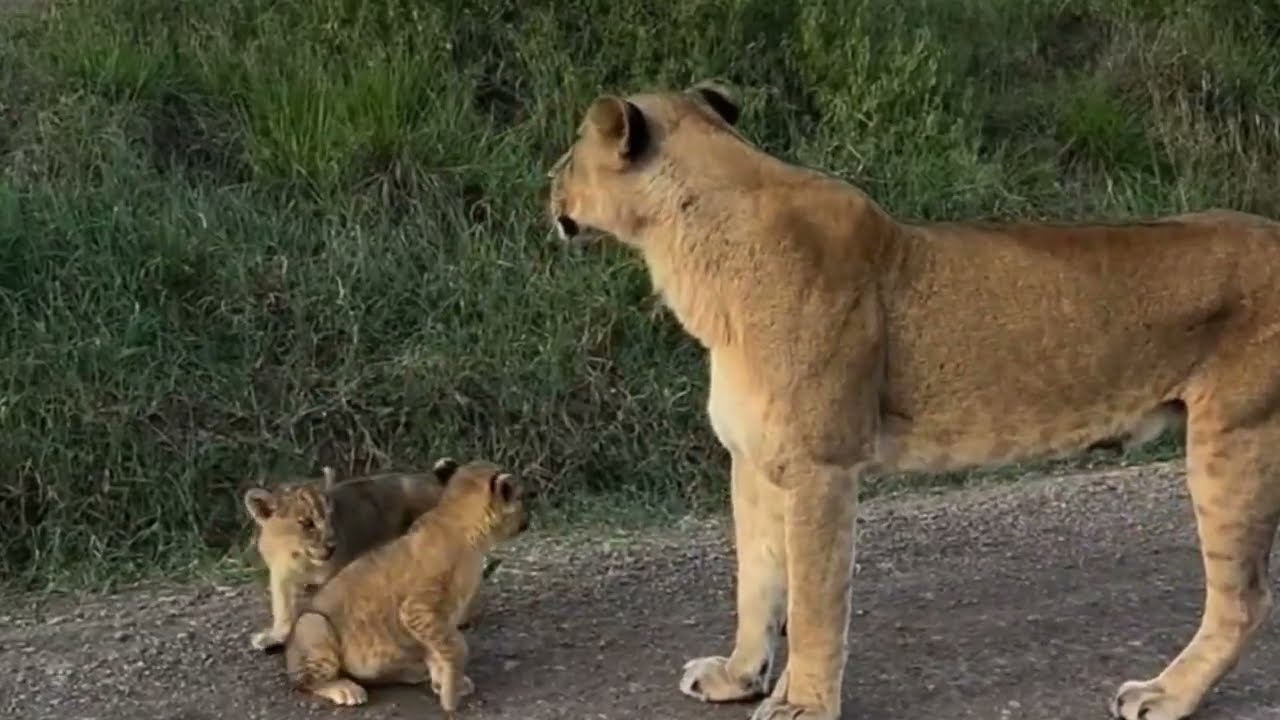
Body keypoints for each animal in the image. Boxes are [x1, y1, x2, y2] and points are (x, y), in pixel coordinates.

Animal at [243, 460, 495, 651]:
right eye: (306, 523)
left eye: (330, 515)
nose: (332, 545)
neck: (298, 557)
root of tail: (436, 480)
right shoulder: (280, 576)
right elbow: (282, 608)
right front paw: (275, 636)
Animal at [283, 458, 530, 716]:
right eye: (521, 497)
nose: (529, 519)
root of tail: (288, 657)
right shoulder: (417, 609)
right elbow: (457, 645)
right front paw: (450, 693)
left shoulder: (431, 620)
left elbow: (438, 649)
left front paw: (444, 682)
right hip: (313, 623)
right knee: (305, 681)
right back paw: (346, 689)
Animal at [546, 80, 1280, 720]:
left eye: (570, 151)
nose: (546, 182)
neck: (691, 256)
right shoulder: (751, 459)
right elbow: (755, 583)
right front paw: (737, 677)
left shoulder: (822, 466)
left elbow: (812, 604)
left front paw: (801, 704)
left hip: (1235, 439)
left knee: (1242, 599)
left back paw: (1166, 694)